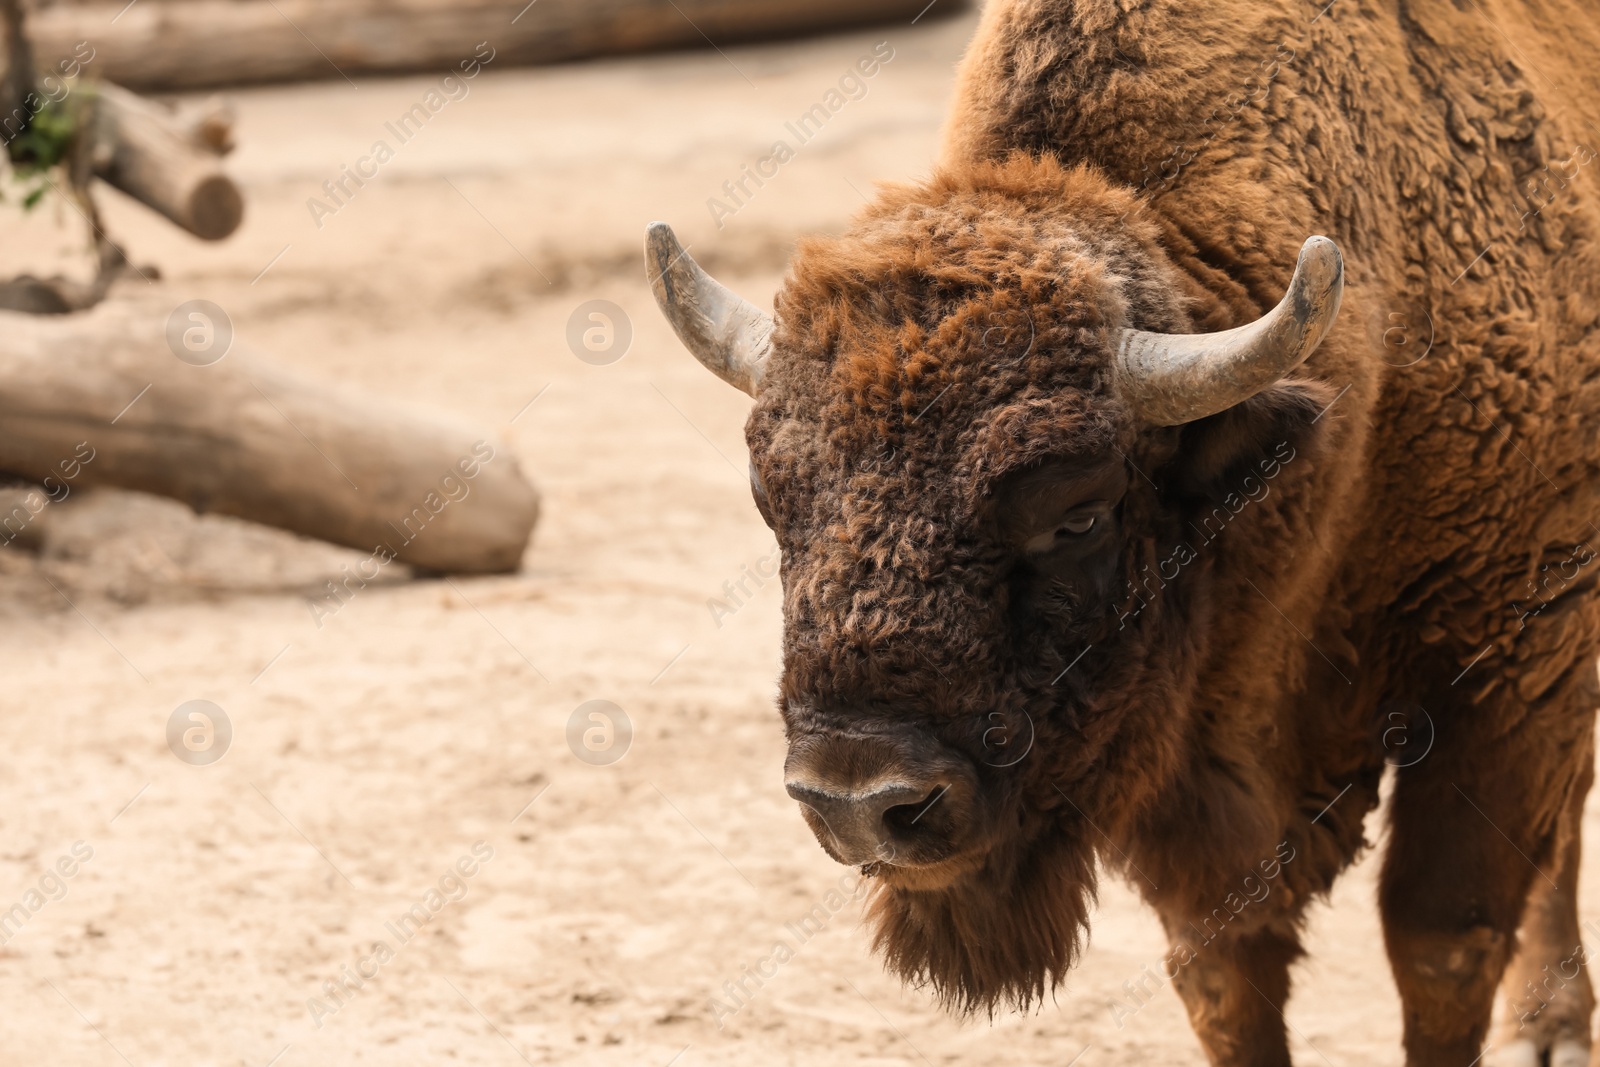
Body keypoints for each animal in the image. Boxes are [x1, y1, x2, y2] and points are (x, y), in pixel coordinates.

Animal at [643, 2, 1600, 1067]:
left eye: (1078, 512)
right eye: (771, 500)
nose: (858, 801)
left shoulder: (1515, 656)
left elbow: (1441, 939)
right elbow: (1227, 969)